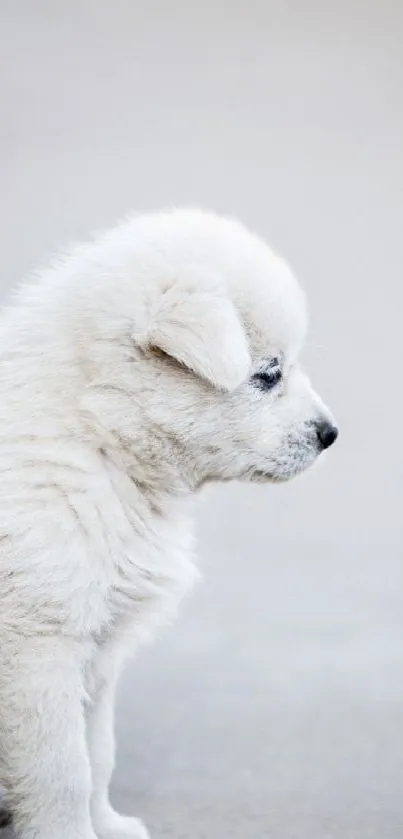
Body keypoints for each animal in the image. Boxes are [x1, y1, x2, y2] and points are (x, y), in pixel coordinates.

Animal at [0, 210, 338, 839]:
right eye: (268, 374)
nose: (331, 434)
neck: (99, 437)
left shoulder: (100, 649)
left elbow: (98, 751)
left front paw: (107, 825)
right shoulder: (38, 649)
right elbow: (62, 770)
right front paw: (70, 832)